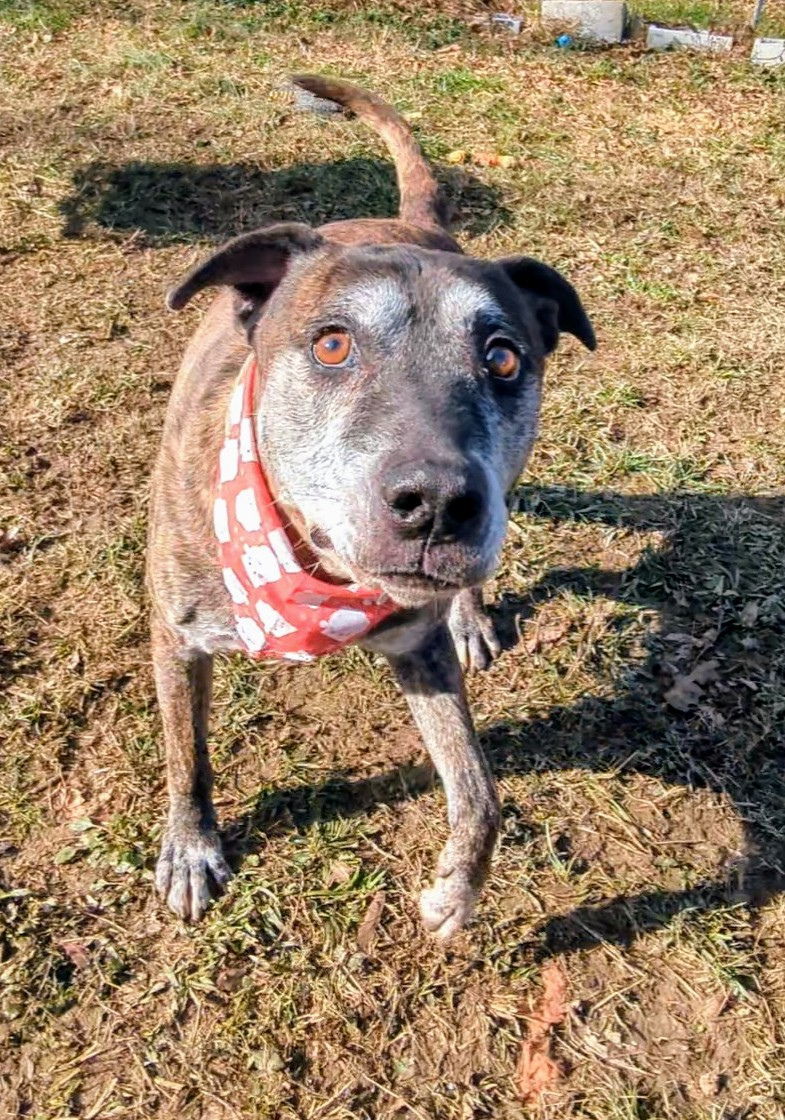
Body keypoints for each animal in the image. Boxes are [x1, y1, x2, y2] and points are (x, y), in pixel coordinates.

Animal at [148, 74, 595, 940]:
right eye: (331, 344)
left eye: (503, 358)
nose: (438, 504)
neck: (312, 570)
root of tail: (407, 220)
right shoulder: (176, 639)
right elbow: (186, 756)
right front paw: (190, 846)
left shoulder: (418, 650)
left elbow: (480, 793)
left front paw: (456, 893)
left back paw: (471, 613)